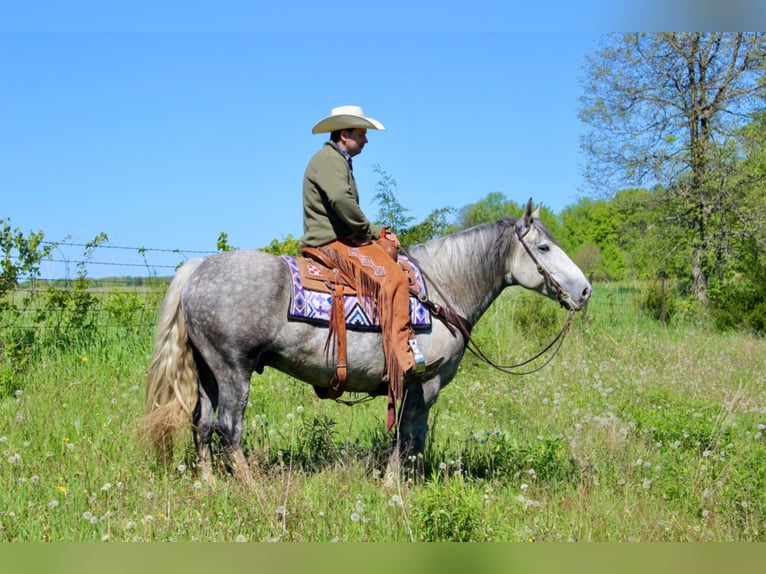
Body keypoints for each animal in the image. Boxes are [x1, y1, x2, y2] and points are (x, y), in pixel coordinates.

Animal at [144, 200, 592, 484]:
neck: (442, 288)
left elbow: (414, 439)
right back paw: (251, 487)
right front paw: (395, 487)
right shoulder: (423, 385)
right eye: (544, 247)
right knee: (228, 428)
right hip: (232, 369)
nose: (584, 290)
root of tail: (197, 268)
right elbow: (408, 438)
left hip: (208, 371)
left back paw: (209, 484)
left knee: (201, 424)